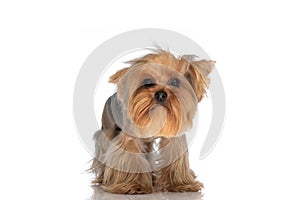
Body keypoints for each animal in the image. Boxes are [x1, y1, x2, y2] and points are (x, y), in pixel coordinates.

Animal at [90, 48, 214, 194]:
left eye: (175, 82)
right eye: (148, 82)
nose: (161, 94)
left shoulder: (173, 138)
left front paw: (180, 184)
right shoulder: (130, 138)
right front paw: (134, 185)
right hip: (108, 129)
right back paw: (103, 178)